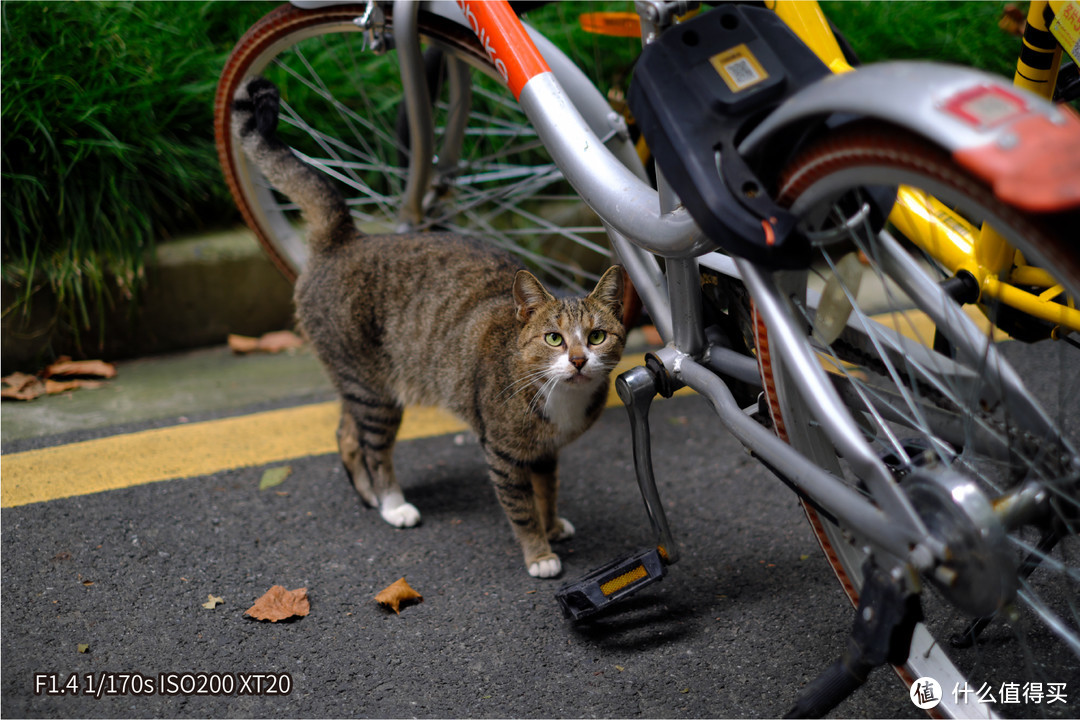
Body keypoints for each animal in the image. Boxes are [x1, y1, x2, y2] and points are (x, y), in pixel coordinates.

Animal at [232, 78, 630, 578]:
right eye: (553, 338)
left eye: (596, 336)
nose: (578, 361)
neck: (561, 399)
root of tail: (344, 238)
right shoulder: (502, 452)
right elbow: (521, 509)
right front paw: (540, 553)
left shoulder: (543, 451)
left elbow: (548, 488)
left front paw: (553, 524)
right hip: (374, 389)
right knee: (373, 446)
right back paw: (392, 503)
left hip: (360, 382)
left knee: (346, 433)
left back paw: (369, 496)